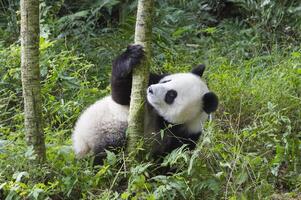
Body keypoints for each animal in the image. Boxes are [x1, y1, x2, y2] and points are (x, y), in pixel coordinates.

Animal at [72, 45, 218, 164]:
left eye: (171, 95)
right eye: (167, 81)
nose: (150, 90)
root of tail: (82, 143)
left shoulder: (187, 136)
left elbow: (171, 161)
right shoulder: (149, 83)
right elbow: (121, 95)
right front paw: (131, 56)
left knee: (108, 152)